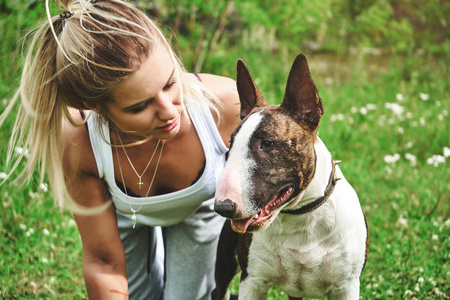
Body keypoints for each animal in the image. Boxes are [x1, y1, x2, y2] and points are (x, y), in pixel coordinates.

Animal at [213, 54, 368, 300]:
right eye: (231, 144)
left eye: (267, 143)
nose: (223, 207)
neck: (300, 218)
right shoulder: (252, 281)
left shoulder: (346, 287)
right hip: (225, 263)